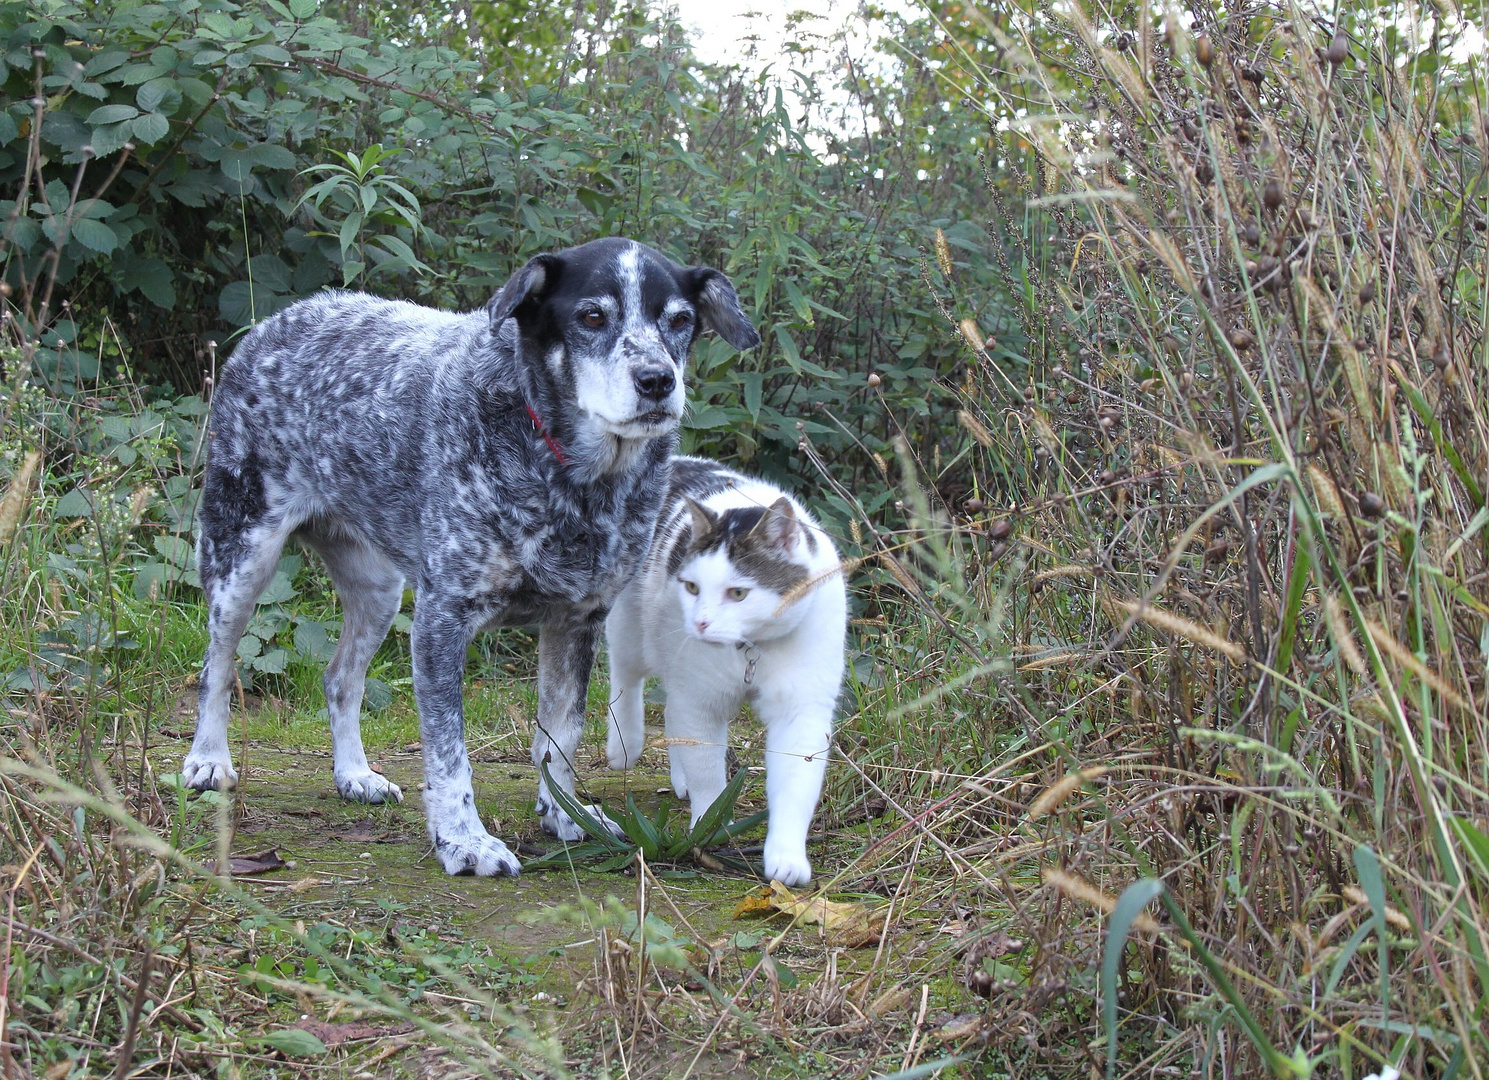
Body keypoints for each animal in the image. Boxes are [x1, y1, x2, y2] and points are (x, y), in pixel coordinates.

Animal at [183, 235, 756, 875]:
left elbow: (562, 734)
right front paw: (463, 840)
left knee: (339, 679)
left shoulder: (576, 622)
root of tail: (276, 322)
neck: (569, 478)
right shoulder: (442, 621)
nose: (657, 380)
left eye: (679, 321)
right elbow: (448, 753)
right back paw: (207, 760)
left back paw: (354, 774)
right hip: (241, 556)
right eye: (591, 317)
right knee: (215, 667)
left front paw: (564, 815)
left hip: (379, 593)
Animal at [598, 455, 845, 881]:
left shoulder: (801, 710)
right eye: (692, 587)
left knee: (670, 713)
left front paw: (787, 857)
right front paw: (708, 828)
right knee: (627, 678)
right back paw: (625, 746)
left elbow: (796, 784)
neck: (750, 649)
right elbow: (707, 776)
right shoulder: (701, 702)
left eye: (739, 593)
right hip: (633, 629)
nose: (700, 623)